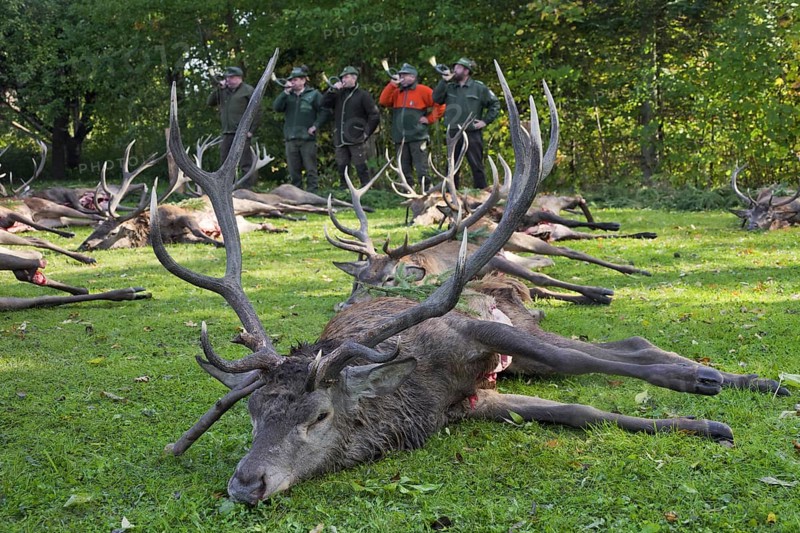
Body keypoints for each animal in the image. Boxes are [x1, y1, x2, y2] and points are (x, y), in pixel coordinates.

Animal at [153, 50, 787, 505]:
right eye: (254, 413)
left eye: (319, 416)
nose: (245, 484)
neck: (417, 396)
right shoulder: (471, 404)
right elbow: (576, 412)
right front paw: (701, 423)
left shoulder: (469, 331)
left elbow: (583, 363)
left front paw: (712, 391)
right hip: (525, 356)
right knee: (619, 346)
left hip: (521, 329)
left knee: (612, 347)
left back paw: (735, 377)